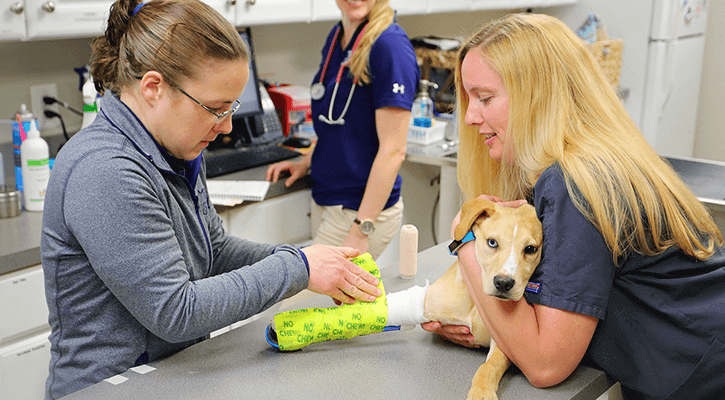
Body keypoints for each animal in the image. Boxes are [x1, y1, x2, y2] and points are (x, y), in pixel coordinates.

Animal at [422, 198, 540, 400]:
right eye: (492, 242)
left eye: (530, 249)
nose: (503, 283)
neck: (475, 303)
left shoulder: (504, 343)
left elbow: (488, 367)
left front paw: (481, 391)